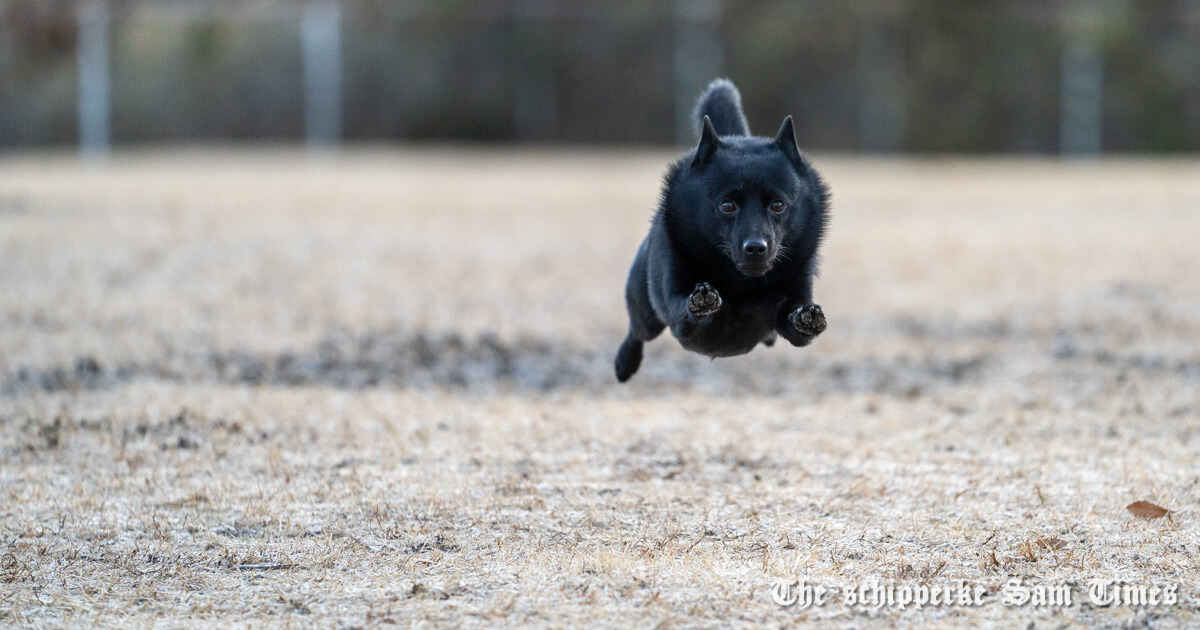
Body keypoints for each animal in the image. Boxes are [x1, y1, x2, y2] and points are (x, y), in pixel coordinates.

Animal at [614, 79, 830, 384]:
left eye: (778, 204)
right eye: (727, 205)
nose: (756, 247)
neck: (740, 284)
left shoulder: (794, 299)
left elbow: (796, 322)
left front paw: (804, 317)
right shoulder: (680, 316)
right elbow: (687, 309)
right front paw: (701, 299)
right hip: (646, 312)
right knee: (637, 331)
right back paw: (624, 364)